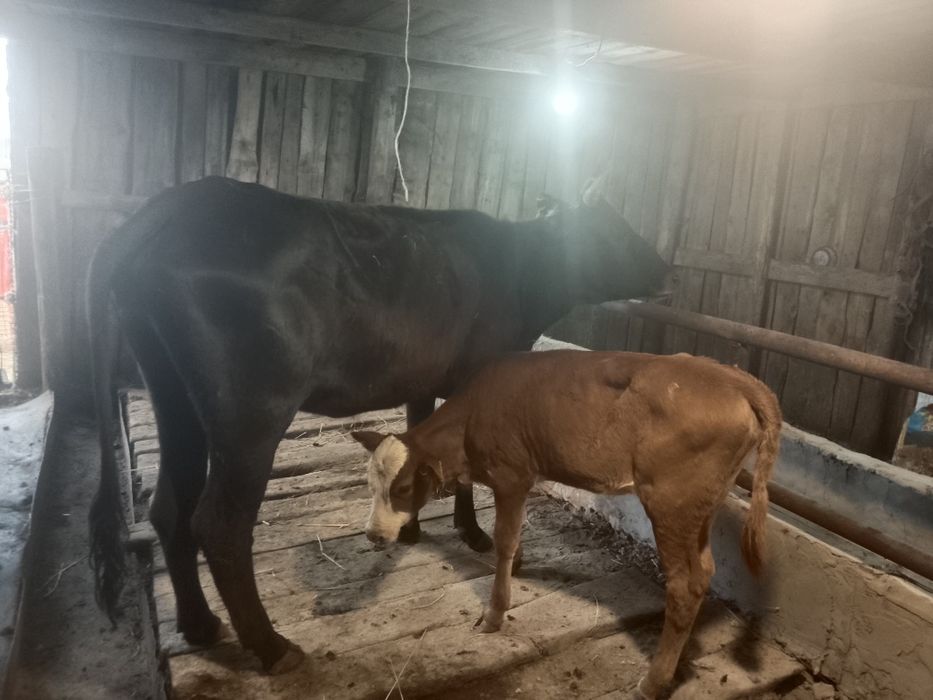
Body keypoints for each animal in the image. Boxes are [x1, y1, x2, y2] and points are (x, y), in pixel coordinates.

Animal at [87, 176, 675, 673]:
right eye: (610, 229)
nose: (665, 268)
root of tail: (165, 211)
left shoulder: (422, 379)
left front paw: (413, 526)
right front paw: (476, 534)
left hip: (173, 394)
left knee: (171, 506)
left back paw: (201, 625)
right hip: (252, 408)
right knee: (219, 523)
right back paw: (272, 647)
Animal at [353, 350, 781, 699]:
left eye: (403, 487)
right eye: (370, 483)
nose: (373, 534)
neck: (474, 417)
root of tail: (733, 377)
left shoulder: (511, 476)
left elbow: (504, 540)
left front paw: (494, 613)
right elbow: (515, 534)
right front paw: (518, 566)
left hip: (670, 503)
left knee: (685, 584)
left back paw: (653, 681)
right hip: (701, 506)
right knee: (705, 570)